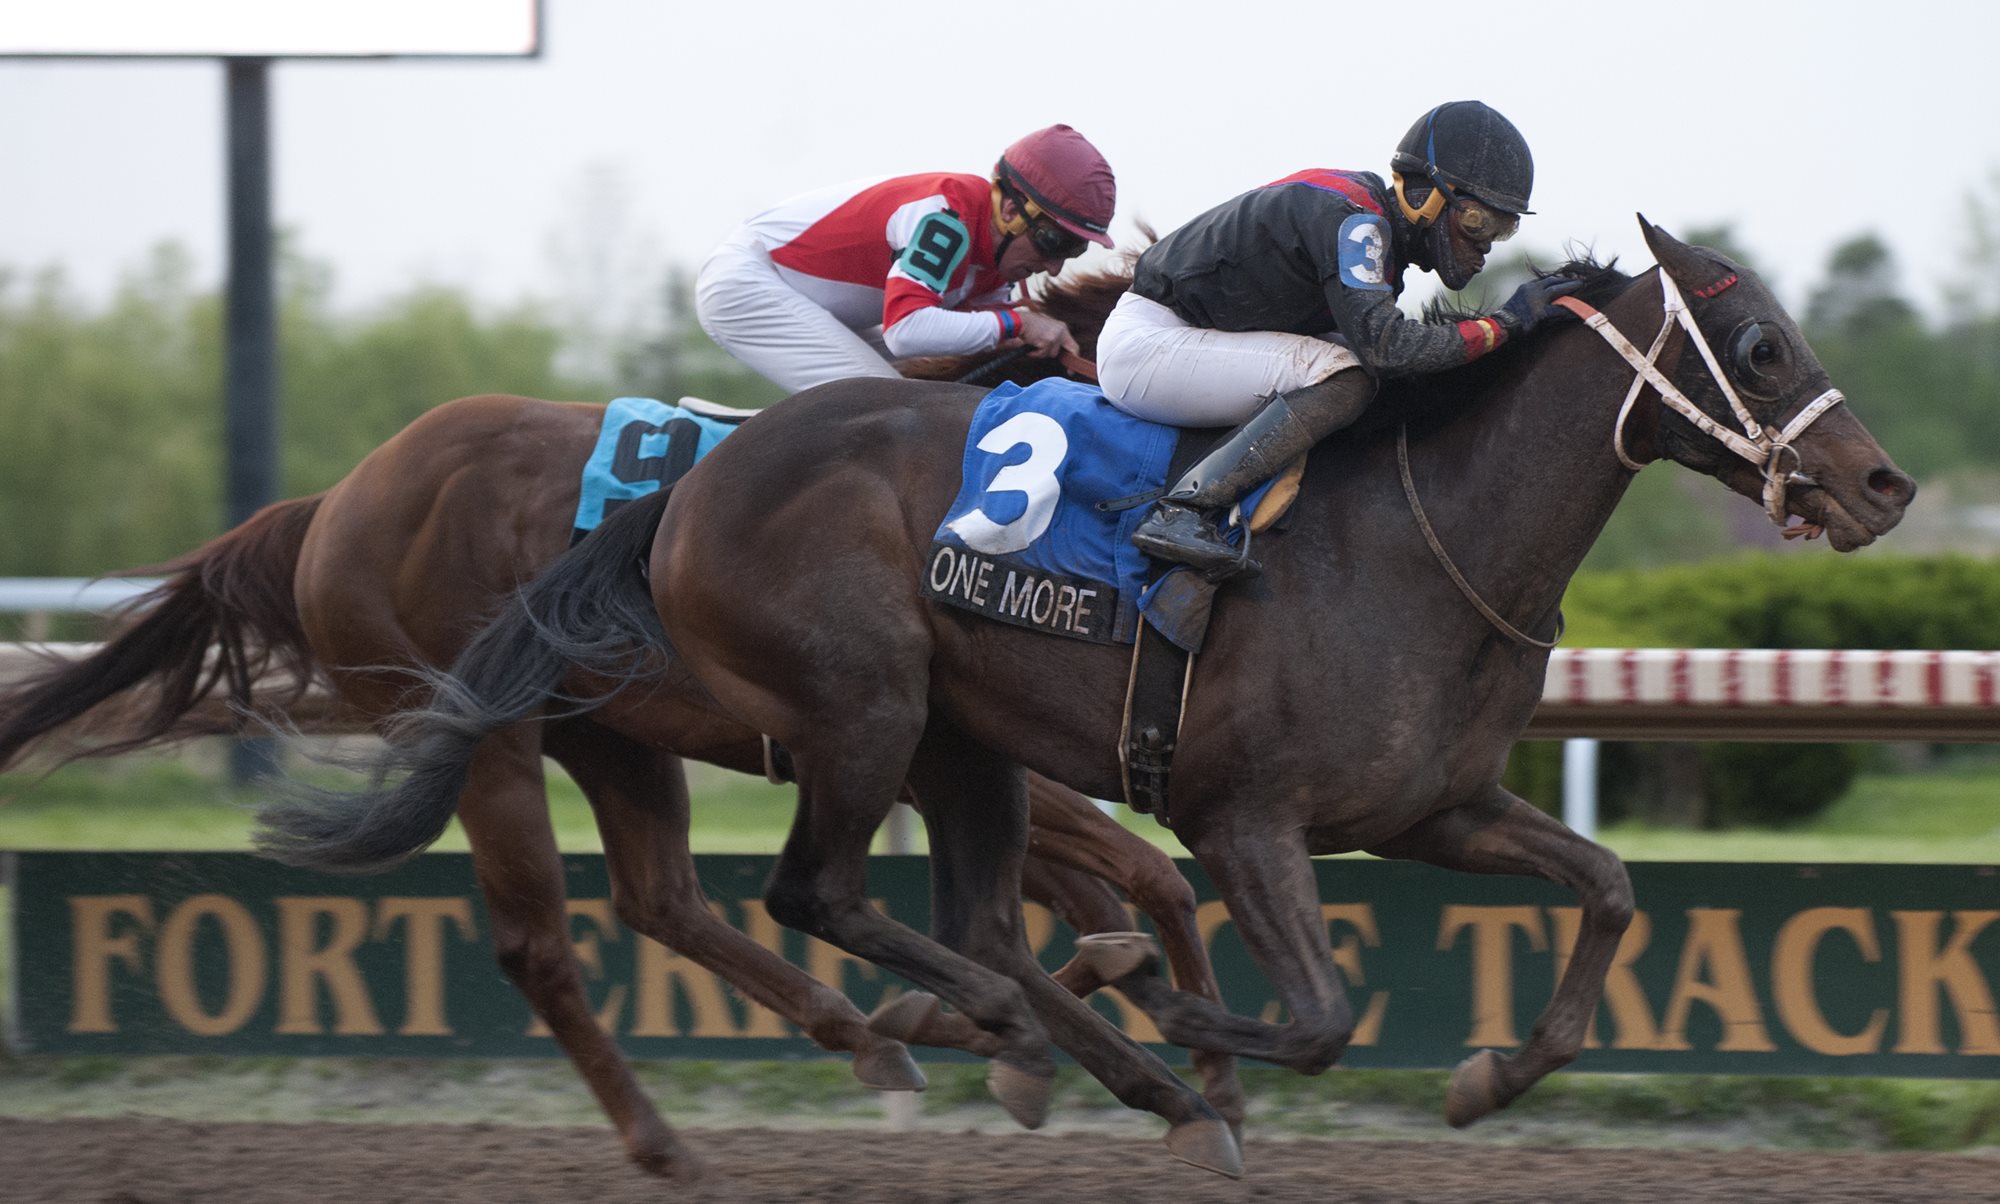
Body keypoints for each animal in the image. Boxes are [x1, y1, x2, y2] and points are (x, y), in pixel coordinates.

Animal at [0, 268, 1248, 1168]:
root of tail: (336, 500)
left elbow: (1107, 894)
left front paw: (1103, 1027)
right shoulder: (926, 748)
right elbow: (1135, 880)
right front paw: (1182, 1062)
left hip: (605, 730)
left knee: (661, 899)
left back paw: (857, 1042)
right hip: (488, 735)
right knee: (541, 943)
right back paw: (664, 1141)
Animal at [258, 218, 1912, 1168]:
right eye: (1760, 343)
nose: (1883, 485)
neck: (1416, 533)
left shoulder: (1433, 808)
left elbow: (1611, 889)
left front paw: (1486, 1077)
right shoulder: (1244, 818)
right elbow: (1309, 1008)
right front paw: (1189, 1028)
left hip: (915, 745)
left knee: (858, 916)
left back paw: (1038, 1045)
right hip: (847, 711)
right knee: (788, 900)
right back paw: (963, 1043)